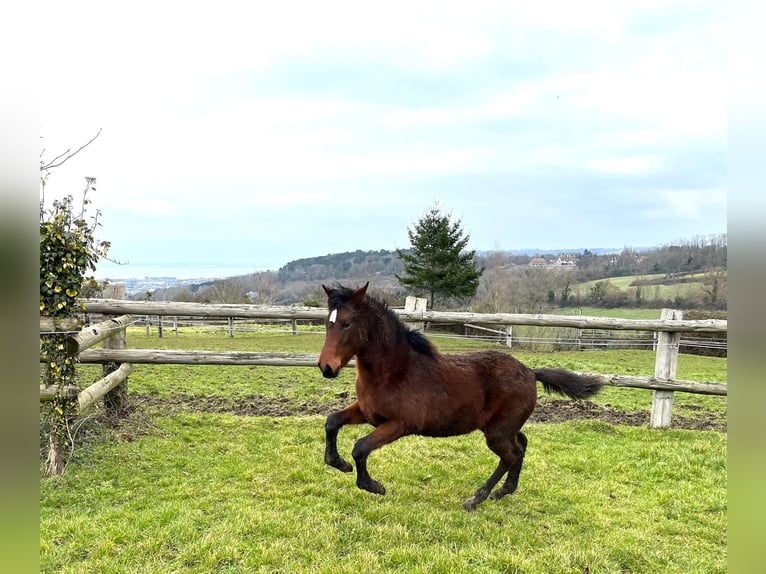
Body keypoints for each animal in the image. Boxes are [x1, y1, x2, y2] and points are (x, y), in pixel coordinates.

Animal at [318, 284, 608, 512]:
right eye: (327, 323)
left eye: (347, 323)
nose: (326, 367)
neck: (395, 371)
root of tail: (531, 372)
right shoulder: (368, 413)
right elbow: (332, 421)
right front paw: (338, 463)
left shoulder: (400, 424)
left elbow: (361, 447)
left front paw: (373, 486)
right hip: (503, 427)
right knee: (522, 444)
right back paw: (504, 491)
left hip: (497, 433)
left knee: (511, 455)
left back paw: (477, 498)